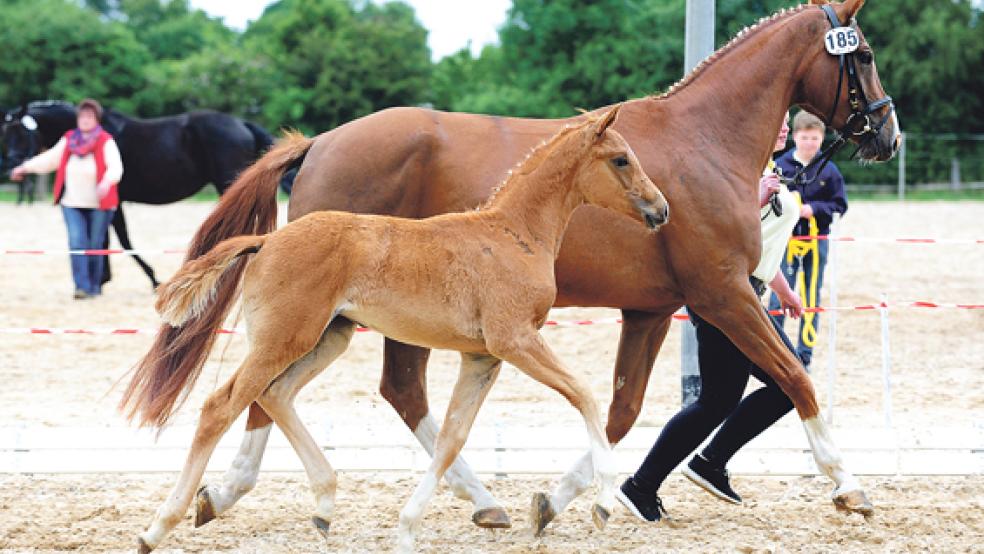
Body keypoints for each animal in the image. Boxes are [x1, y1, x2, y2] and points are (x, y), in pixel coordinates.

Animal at [0, 101, 276, 286]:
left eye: (21, 132)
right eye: (6, 132)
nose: (13, 164)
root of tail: (242, 124)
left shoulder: (114, 201)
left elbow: (120, 240)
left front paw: (150, 277)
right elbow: (106, 240)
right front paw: (103, 279)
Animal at [121, 106, 668, 548]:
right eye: (621, 159)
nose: (660, 209)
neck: (513, 235)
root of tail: (265, 241)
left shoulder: (482, 356)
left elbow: (451, 439)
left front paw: (409, 526)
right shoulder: (515, 340)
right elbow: (585, 395)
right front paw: (603, 503)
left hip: (327, 338)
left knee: (275, 395)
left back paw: (323, 505)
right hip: (285, 339)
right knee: (222, 406)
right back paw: (159, 526)